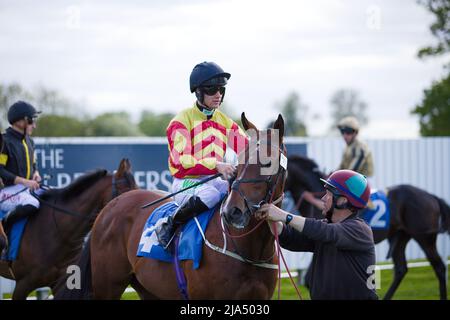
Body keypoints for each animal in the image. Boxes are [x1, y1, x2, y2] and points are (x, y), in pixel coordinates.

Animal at [54, 113, 286, 300]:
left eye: (268, 163)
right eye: (241, 159)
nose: (233, 212)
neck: (249, 251)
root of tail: (109, 207)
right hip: (108, 285)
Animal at [286, 155, 450, 300]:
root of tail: (430, 196)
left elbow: (308, 280)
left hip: (424, 237)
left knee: (439, 267)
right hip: (400, 236)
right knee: (401, 269)